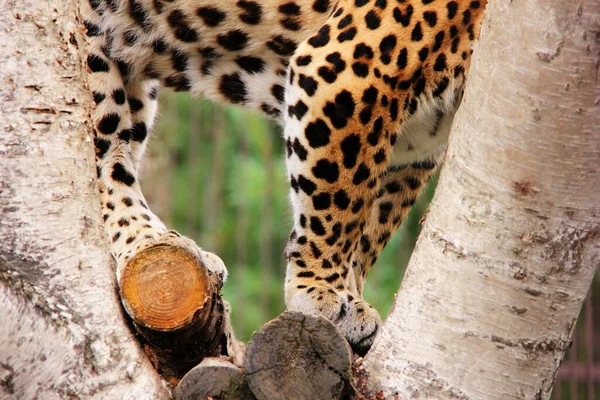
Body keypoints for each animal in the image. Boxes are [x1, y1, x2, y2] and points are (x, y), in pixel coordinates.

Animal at [81, 0, 488, 354]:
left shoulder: (415, 148)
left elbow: (371, 224)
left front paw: (352, 299)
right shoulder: (348, 73)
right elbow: (339, 200)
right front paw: (321, 291)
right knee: (104, 155)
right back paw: (147, 240)